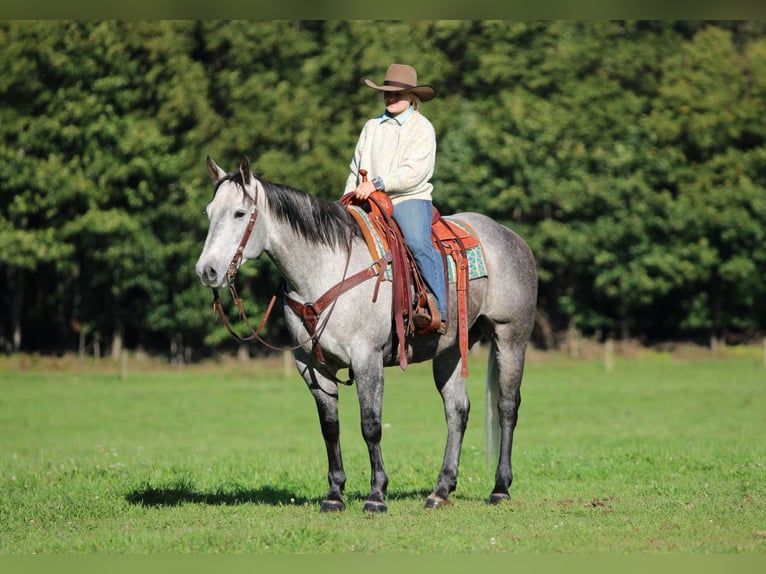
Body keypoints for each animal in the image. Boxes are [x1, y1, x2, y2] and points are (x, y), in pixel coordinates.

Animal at [195, 155, 538, 512]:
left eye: (240, 213)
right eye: (208, 212)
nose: (207, 271)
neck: (325, 270)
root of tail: (512, 237)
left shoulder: (366, 359)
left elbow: (371, 425)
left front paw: (376, 495)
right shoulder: (311, 365)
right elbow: (330, 427)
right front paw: (334, 494)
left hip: (511, 338)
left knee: (507, 407)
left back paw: (500, 488)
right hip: (451, 350)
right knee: (457, 412)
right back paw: (440, 490)